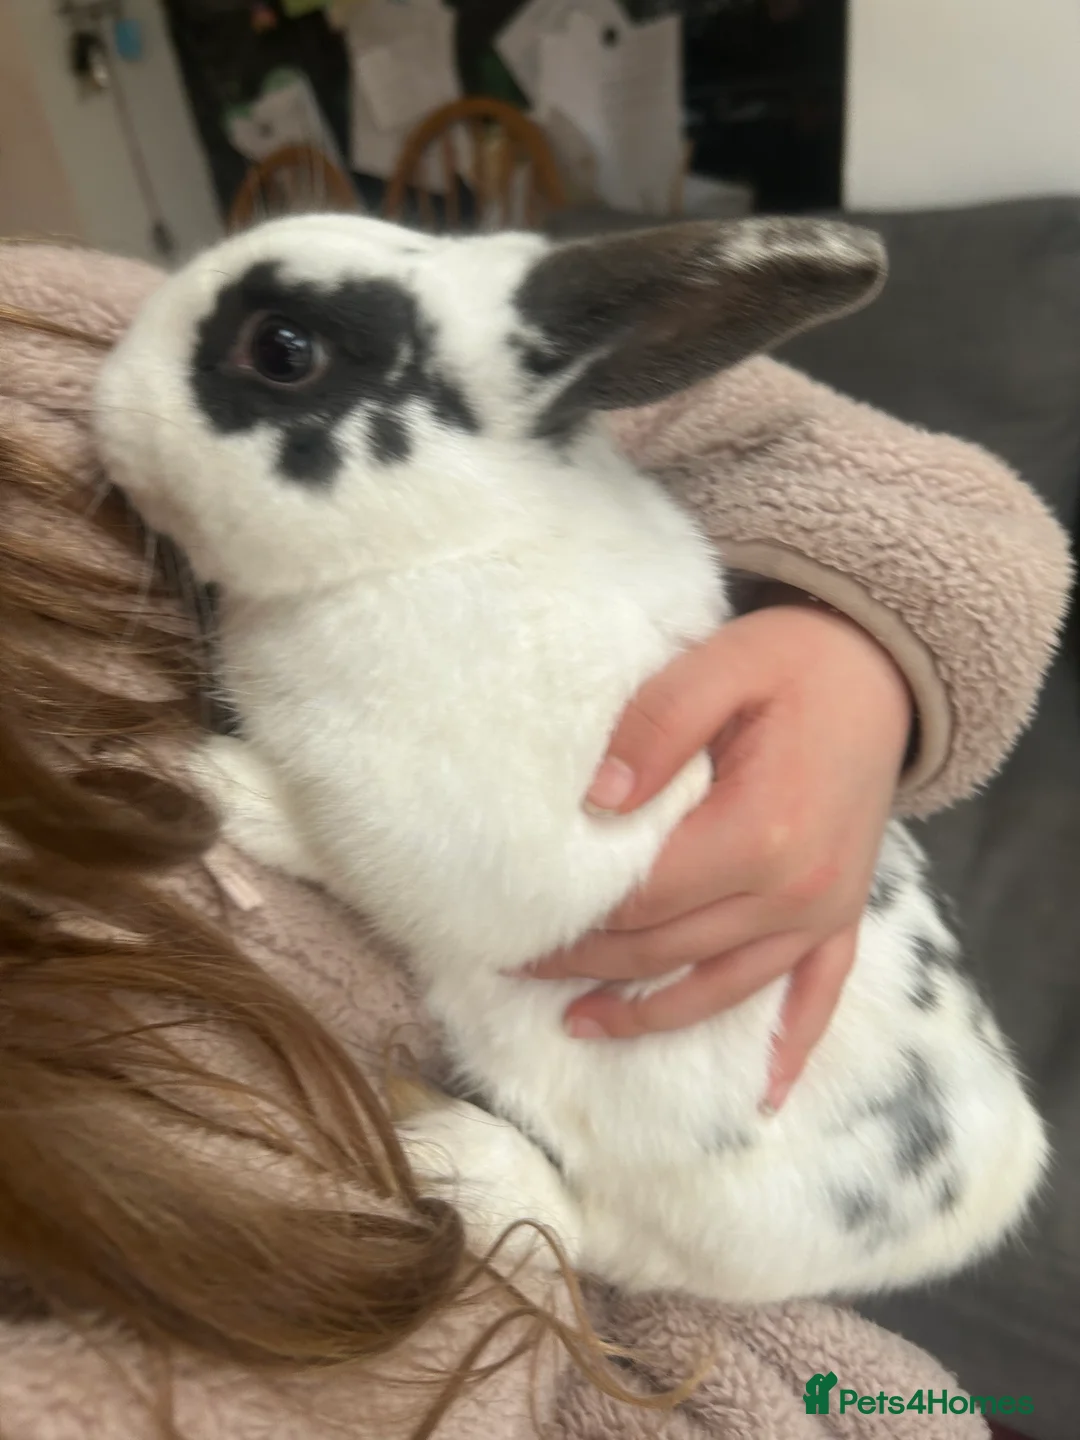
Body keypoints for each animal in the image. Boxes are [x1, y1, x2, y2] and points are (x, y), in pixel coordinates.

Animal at [93, 212, 1048, 1305]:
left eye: (285, 351)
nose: (108, 396)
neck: (445, 541)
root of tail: (978, 1202)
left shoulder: (470, 850)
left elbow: (332, 842)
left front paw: (214, 780)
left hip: (689, 1210)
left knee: (596, 1236)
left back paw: (455, 1159)